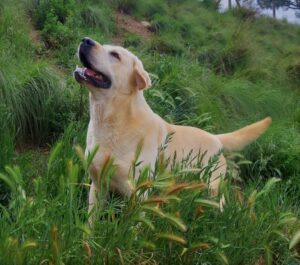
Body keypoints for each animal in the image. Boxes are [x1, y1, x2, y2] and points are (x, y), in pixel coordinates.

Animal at [74, 37, 272, 213]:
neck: (114, 120)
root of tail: (216, 138)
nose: (85, 40)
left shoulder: (139, 194)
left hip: (213, 190)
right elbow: (91, 223)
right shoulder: (97, 187)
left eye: (115, 55)